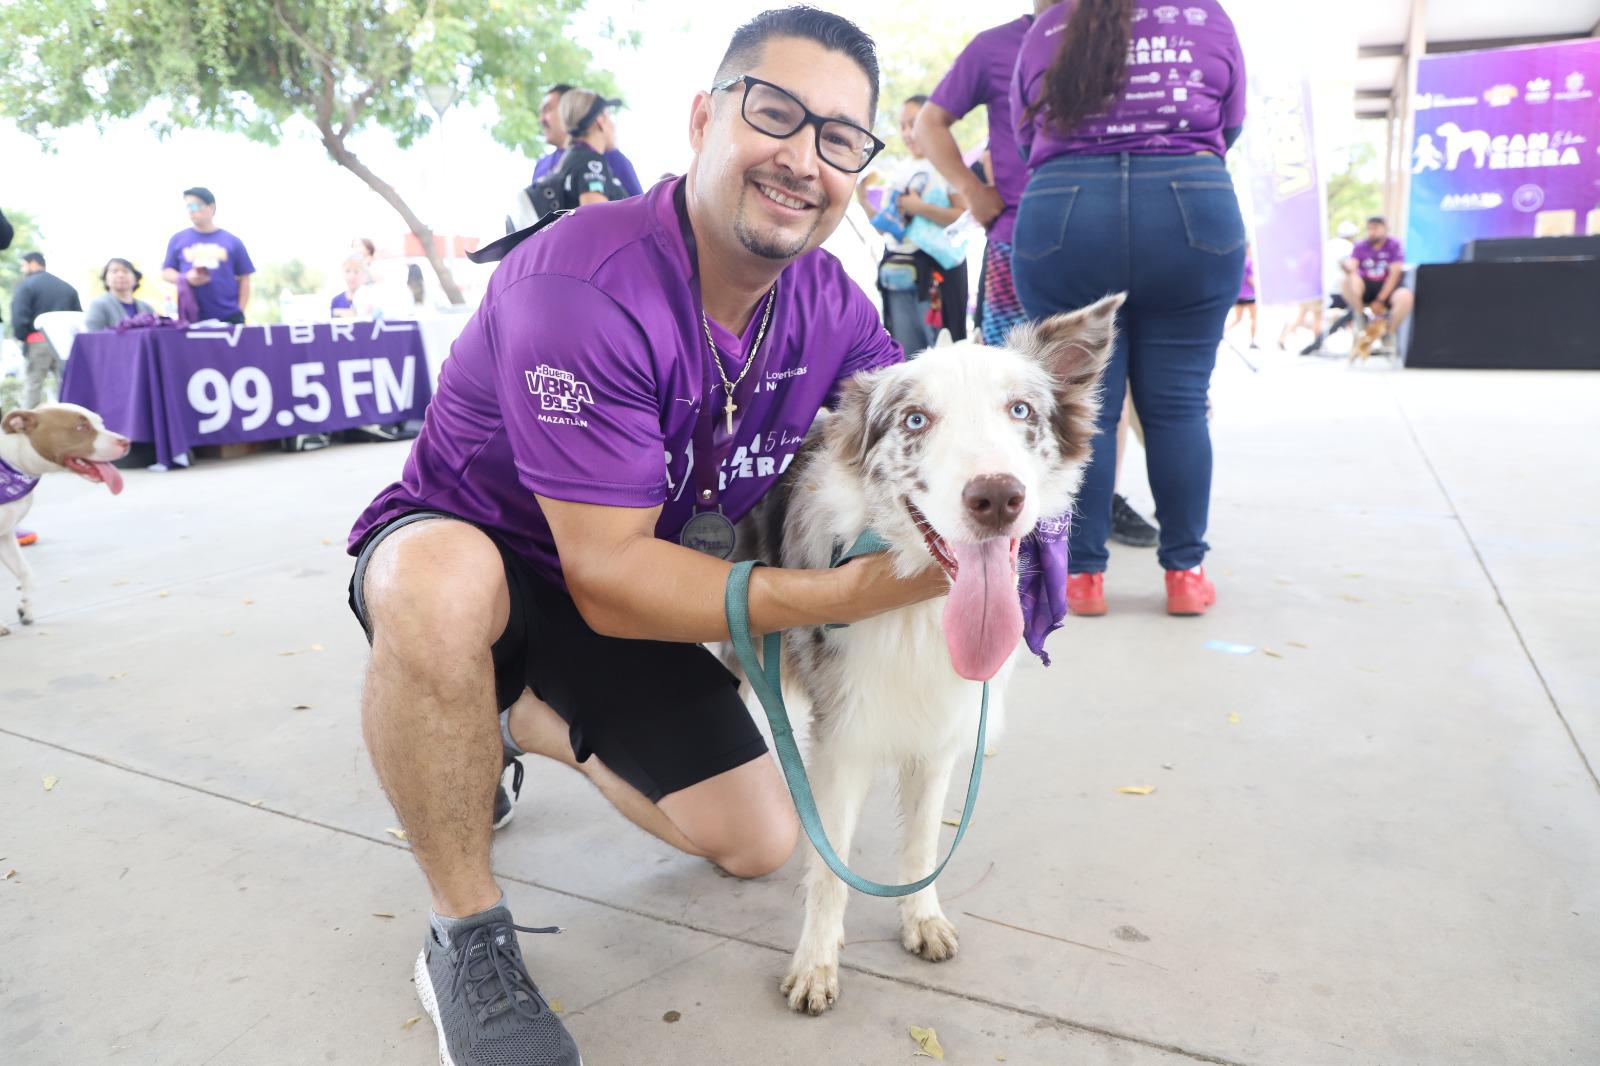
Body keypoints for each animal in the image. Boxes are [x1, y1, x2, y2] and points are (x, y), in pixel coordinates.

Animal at [0, 400, 129, 630]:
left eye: (101, 422)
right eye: (80, 427)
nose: (126, 442)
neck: (12, 463)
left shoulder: (6, 535)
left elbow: (26, 572)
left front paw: (26, 609)